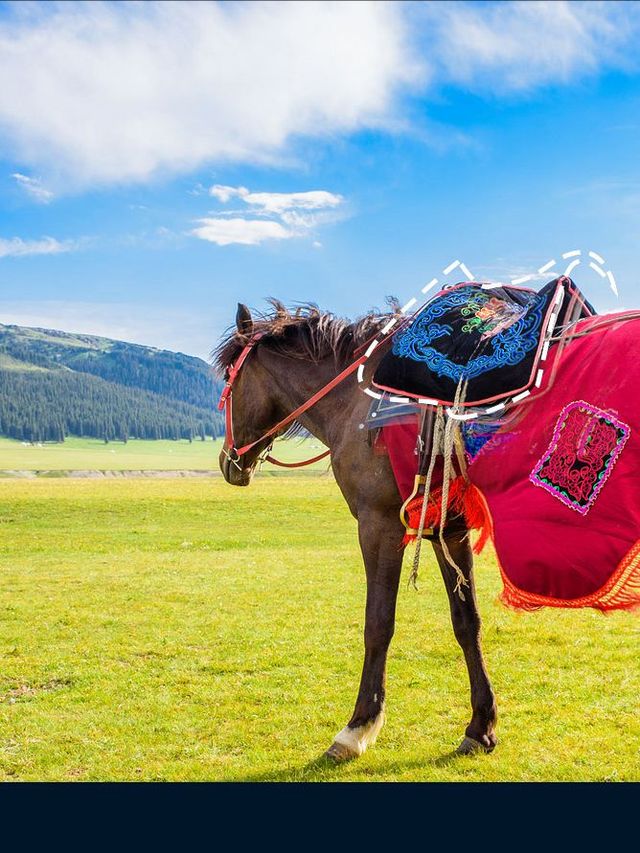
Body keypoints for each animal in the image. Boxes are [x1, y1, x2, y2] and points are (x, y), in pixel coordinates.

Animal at [215, 302, 496, 760]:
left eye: (227, 379)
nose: (228, 462)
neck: (361, 402)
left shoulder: (379, 525)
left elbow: (378, 623)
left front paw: (358, 727)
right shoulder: (448, 530)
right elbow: (466, 622)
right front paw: (481, 725)